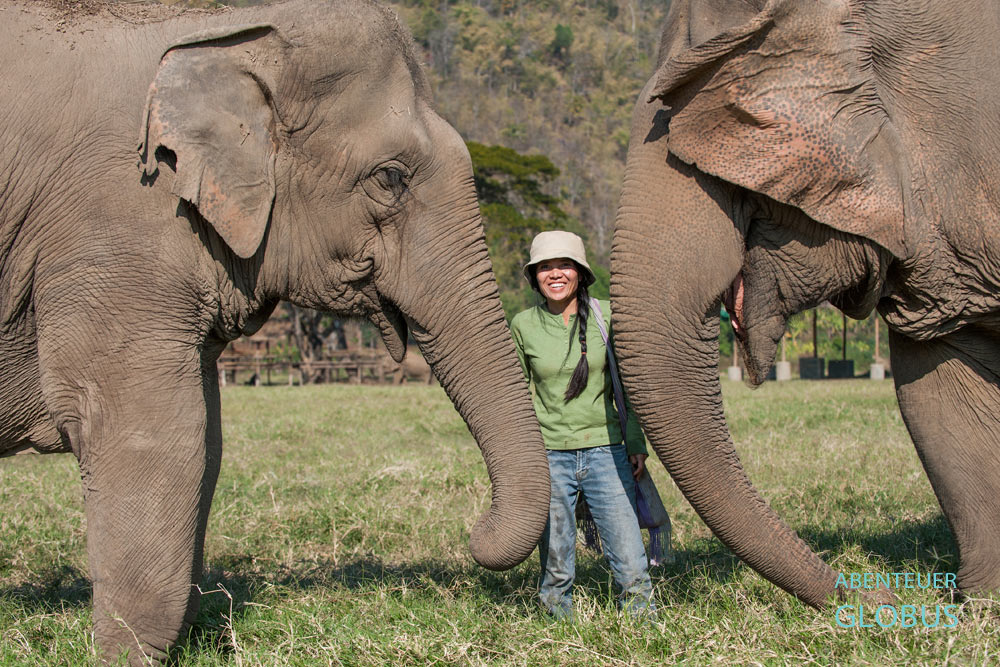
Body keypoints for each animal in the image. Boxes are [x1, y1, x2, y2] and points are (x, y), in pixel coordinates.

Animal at [0, 0, 549, 662]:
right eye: (390, 178)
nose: (474, 532)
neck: (235, 28)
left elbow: (207, 437)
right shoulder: (117, 217)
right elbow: (155, 433)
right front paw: (124, 654)